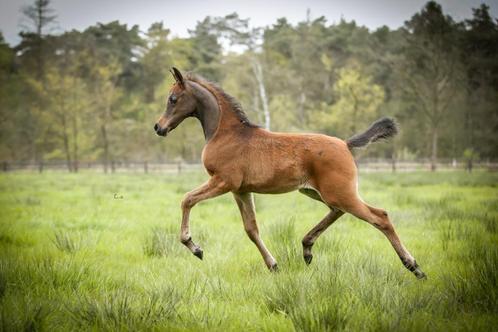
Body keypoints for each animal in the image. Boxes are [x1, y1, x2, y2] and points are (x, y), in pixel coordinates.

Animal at [154, 68, 426, 280]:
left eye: (173, 99)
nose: (159, 127)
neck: (225, 133)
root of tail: (345, 144)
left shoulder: (223, 181)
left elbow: (187, 199)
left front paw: (195, 247)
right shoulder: (240, 190)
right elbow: (251, 229)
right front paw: (273, 265)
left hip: (340, 193)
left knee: (380, 217)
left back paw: (413, 266)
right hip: (317, 192)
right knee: (337, 211)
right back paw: (307, 248)